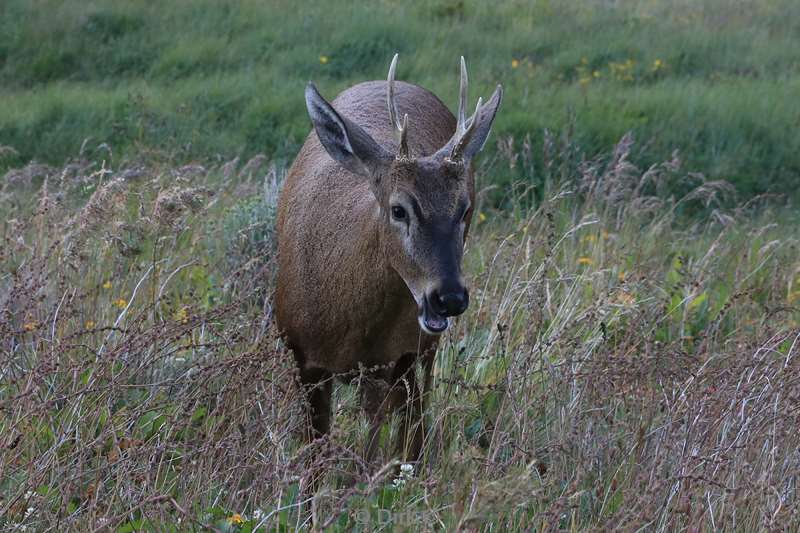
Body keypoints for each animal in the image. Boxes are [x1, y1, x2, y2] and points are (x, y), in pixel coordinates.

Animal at [276, 54, 500, 470]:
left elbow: (377, 452)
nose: (449, 297)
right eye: (399, 209)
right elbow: (317, 457)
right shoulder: (304, 357)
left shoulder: (392, 360)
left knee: (415, 425)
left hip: (419, 353)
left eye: (464, 210)